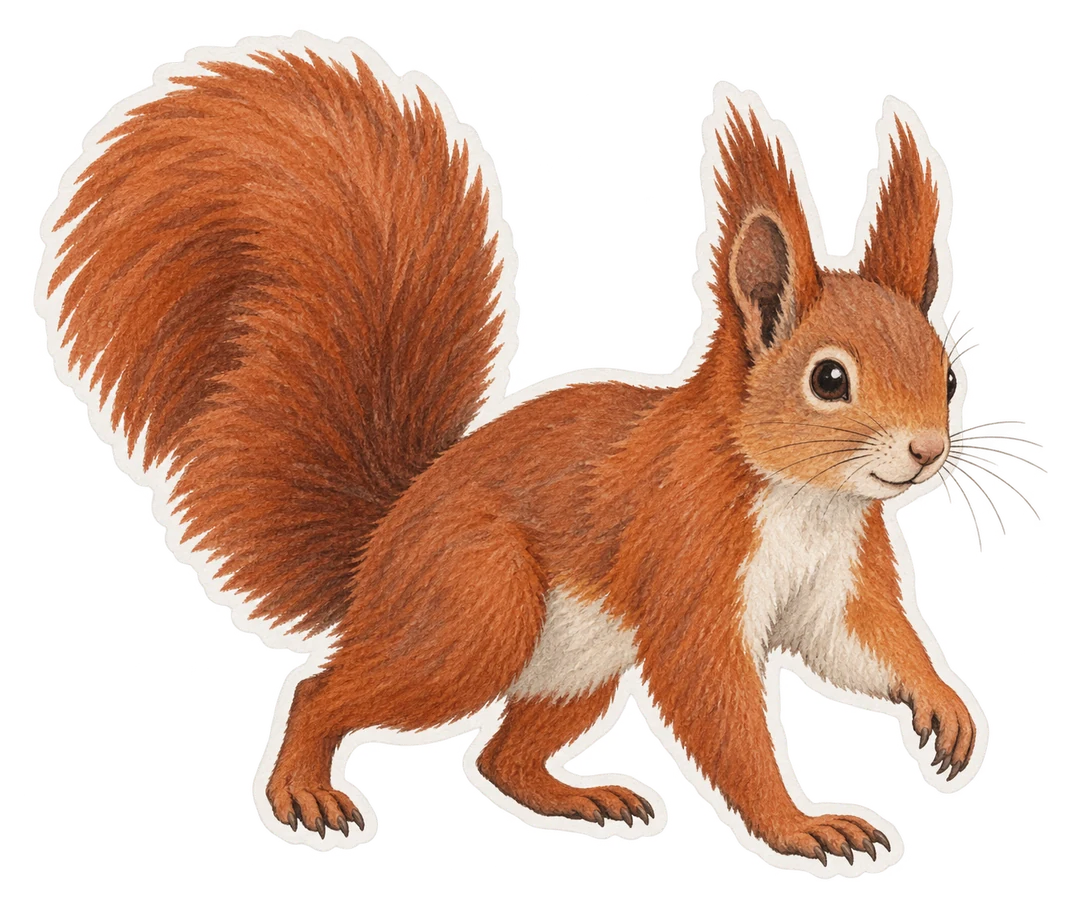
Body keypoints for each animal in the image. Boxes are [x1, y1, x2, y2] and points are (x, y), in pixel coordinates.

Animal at [40, 39, 981, 869]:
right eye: (829, 379)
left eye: (946, 370)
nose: (926, 452)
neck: (802, 497)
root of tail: (380, 549)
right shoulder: (689, 554)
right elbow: (718, 706)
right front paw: (799, 824)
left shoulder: (841, 577)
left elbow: (863, 644)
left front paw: (945, 706)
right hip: (474, 605)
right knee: (324, 691)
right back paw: (304, 788)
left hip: (572, 662)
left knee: (500, 757)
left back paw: (580, 798)